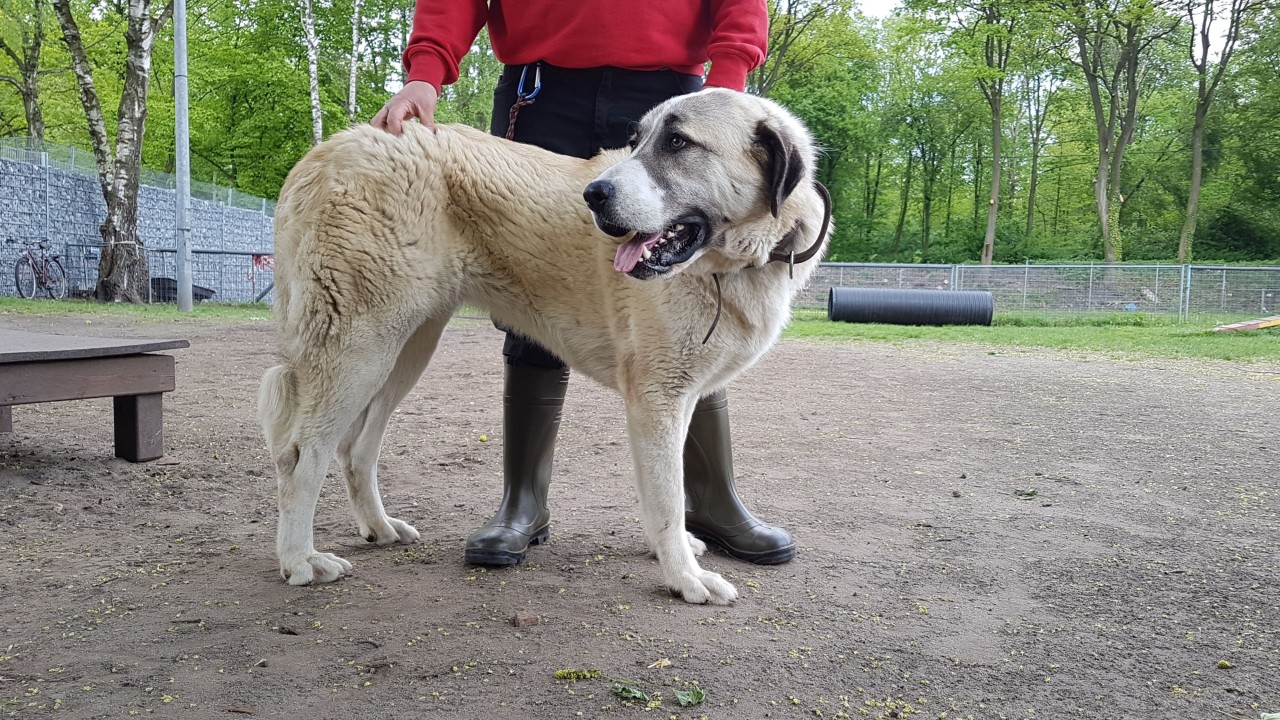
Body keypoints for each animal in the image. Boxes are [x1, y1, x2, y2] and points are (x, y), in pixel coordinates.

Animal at [259, 87, 829, 602]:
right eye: (638, 141)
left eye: (677, 142)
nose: (594, 195)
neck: (730, 265)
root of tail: (330, 148)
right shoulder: (657, 398)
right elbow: (666, 497)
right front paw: (686, 578)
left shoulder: (682, 394)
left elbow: (664, 489)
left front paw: (677, 553)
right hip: (361, 345)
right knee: (300, 453)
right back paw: (301, 560)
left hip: (407, 347)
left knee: (356, 447)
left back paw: (378, 528)